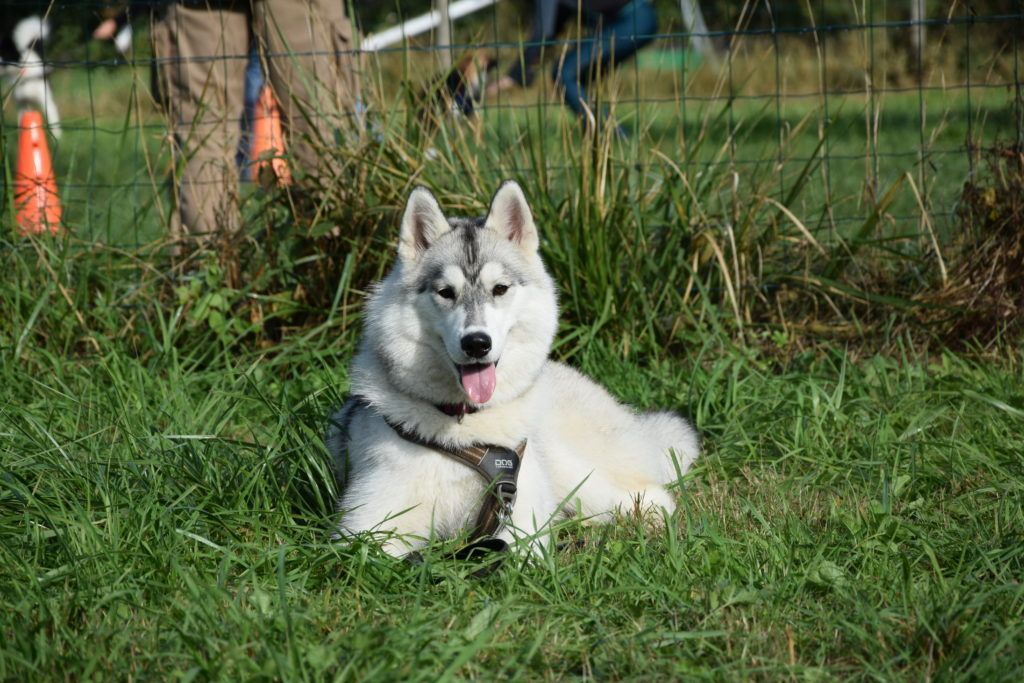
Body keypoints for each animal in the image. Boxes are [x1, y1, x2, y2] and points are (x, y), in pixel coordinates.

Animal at [331, 184, 700, 557]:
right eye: (446, 292)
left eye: (500, 289)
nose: (476, 343)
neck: (466, 428)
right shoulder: (366, 530)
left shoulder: (522, 521)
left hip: (573, 470)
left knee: (652, 498)